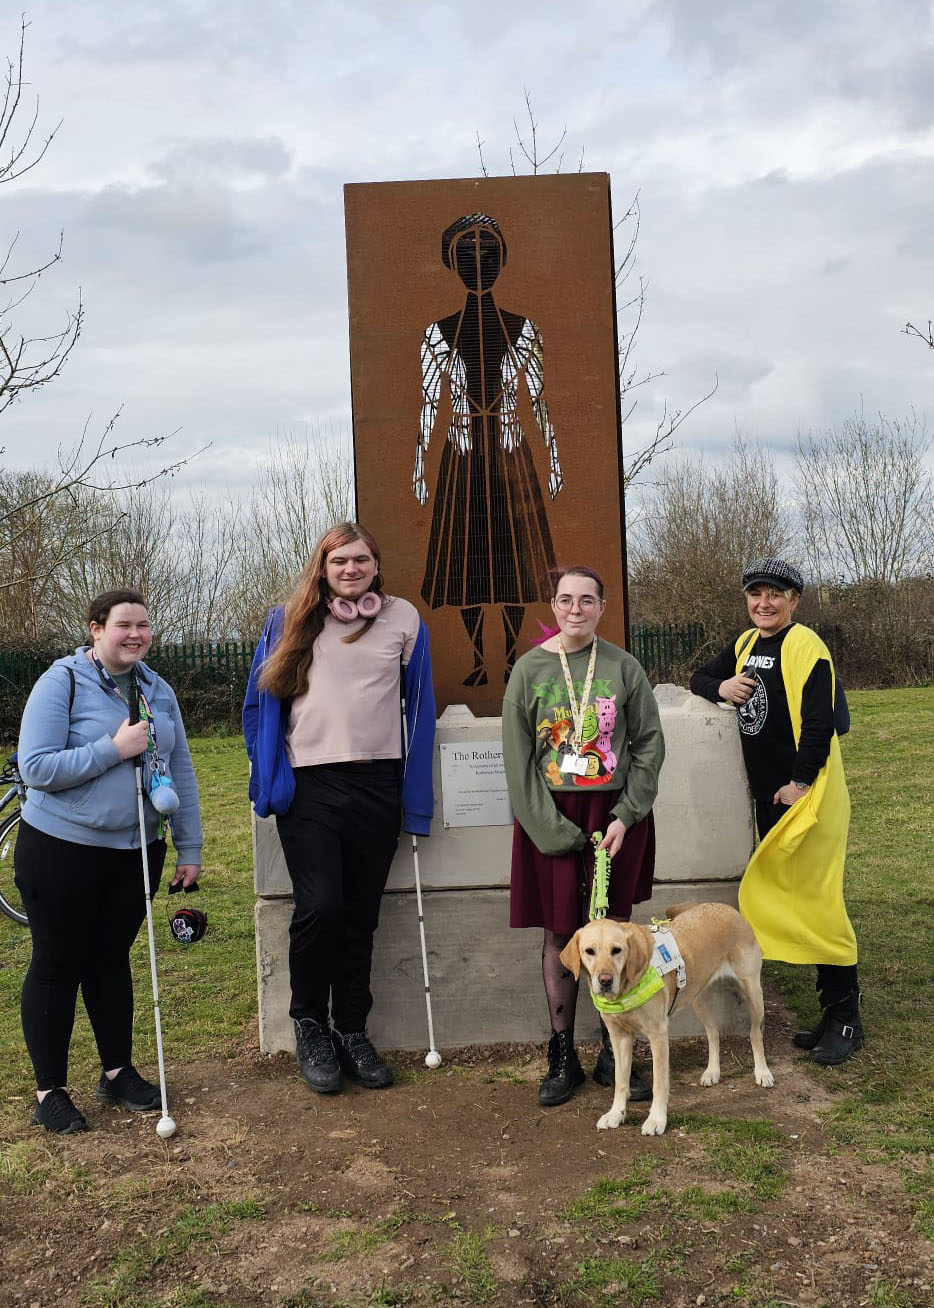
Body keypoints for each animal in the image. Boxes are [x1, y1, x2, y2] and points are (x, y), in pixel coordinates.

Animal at [559, 899, 769, 1135]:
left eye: (616, 950)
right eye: (589, 951)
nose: (605, 981)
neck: (626, 988)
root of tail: (727, 908)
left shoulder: (658, 1034)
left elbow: (659, 1083)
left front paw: (656, 1120)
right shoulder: (619, 1036)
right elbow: (620, 1080)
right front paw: (616, 1114)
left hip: (753, 993)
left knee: (755, 1033)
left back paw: (763, 1072)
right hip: (699, 1000)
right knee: (713, 1033)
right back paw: (712, 1071)